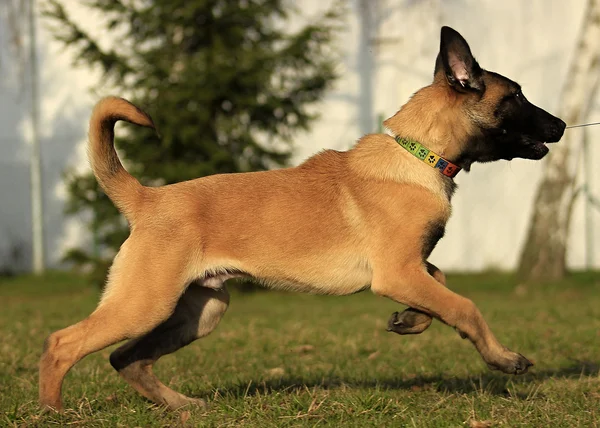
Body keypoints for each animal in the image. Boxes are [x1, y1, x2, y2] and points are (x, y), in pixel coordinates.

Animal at [39, 25, 564, 412]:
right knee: (64, 343)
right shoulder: (396, 271)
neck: (418, 155)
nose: (560, 124)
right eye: (516, 97)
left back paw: (182, 405)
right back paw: (54, 412)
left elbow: (443, 287)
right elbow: (465, 306)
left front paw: (411, 320)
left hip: (199, 312)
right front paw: (503, 358)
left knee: (126, 358)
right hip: (145, 303)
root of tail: (148, 199)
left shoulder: (410, 266)